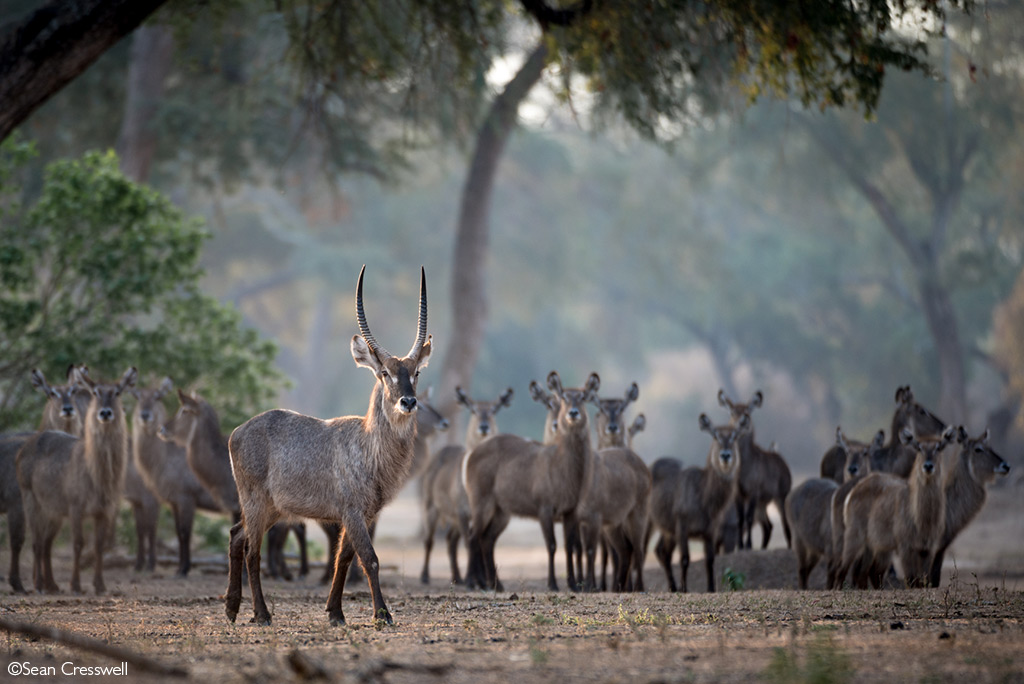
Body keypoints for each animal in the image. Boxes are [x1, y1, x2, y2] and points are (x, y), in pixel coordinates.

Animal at [16, 366, 137, 593]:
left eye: (117, 392)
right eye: (96, 392)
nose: (105, 413)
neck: (97, 474)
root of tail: (25, 447)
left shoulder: (104, 510)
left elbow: (99, 546)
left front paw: (100, 585)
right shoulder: (75, 507)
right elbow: (78, 543)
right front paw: (76, 584)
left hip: (54, 512)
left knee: (46, 544)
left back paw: (52, 585)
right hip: (32, 501)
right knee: (37, 542)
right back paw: (39, 584)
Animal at [224, 266, 432, 626]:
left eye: (416, 371)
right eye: (385, 373)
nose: (408, 401)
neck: (368, 446)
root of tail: (237, 432)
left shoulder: (363, 513)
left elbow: (344, 559)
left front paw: (335, 612)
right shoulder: (352, 511)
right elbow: (370, 558)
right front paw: (382, 614)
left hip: (274, 507)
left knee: (237, 536)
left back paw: (232, 608)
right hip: (256, 501)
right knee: (251, 549)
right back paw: (261, 613)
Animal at [417, 387, 509, 585]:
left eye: (494, 410)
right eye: (473, 410)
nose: (484, 427)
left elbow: (481, 542)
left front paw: (485, 580)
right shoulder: (463, 512)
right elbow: (471, 542)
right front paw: (474, 580)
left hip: (454, 518)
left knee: (451, 540)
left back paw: (457, 578)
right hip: (431, 507)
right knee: (429, 540)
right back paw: (425, 576)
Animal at [460, 370, 598, 589]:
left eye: (583, 397)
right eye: (564, 397)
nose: (573, 413)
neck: (563, 467)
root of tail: (471, 454)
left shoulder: (570, 511)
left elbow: (570, 546)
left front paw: (574, 584)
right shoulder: (545, 509)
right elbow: (552, 545)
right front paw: (553, 584)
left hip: (501, 511)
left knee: (486, 539)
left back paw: (497, 585)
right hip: (482, 502)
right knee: (473, 537)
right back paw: (474, 583)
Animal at [655, 411, 745, 593]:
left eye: (734, 436)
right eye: (716, 435)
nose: (725, 455)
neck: (704, 498)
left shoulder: (711, 530)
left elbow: (710, 559)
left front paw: (711, 588)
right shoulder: (682, 527)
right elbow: (685, 558)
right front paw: (684, 588)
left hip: (668, 530)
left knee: (662, 551)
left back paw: (672, 586)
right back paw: (674, 587)